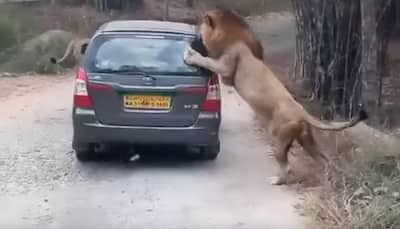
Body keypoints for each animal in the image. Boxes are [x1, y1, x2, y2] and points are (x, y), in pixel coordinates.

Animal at [183, 8, 368, 186]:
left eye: (200, 33)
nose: (194, 40)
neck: (232, 34)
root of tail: (302, 112)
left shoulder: (226, 67)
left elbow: (207, 61)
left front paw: (191, 55)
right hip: (306, 139)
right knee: (324, 159)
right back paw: (329, 178)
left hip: (279, 136)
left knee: (286, 165)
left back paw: (277, 180)